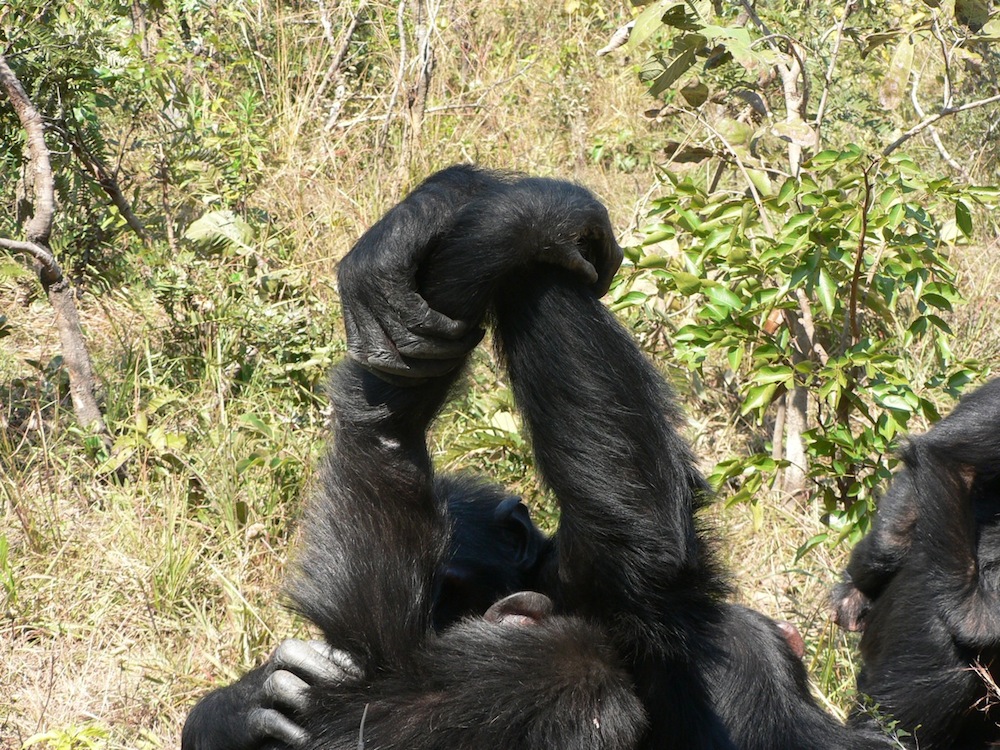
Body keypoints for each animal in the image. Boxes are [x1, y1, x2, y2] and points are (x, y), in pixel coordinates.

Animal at [184, 166, 888, 750]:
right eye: (441, 601)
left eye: (452, 588)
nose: (433, 628)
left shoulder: (595, 586)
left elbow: (639, 537)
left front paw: (497, 213)